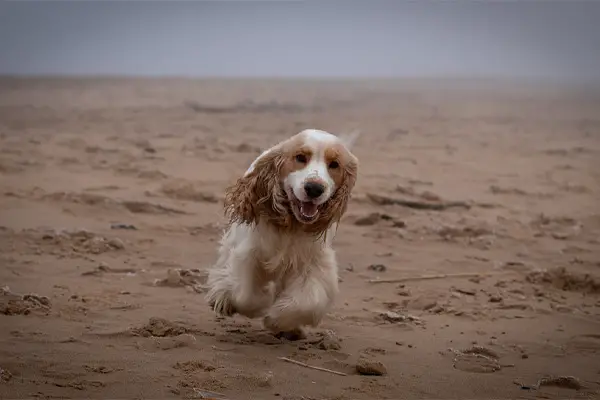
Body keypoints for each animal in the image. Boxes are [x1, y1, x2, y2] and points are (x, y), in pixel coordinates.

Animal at [206, 127, 358, 338]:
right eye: (300, 157)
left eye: (334, 164)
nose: (314, 188)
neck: (292, 224)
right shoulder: (248, 253)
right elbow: (245, 295)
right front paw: (259, 304)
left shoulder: (313, 262)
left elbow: (307, 303)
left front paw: (277, 320)